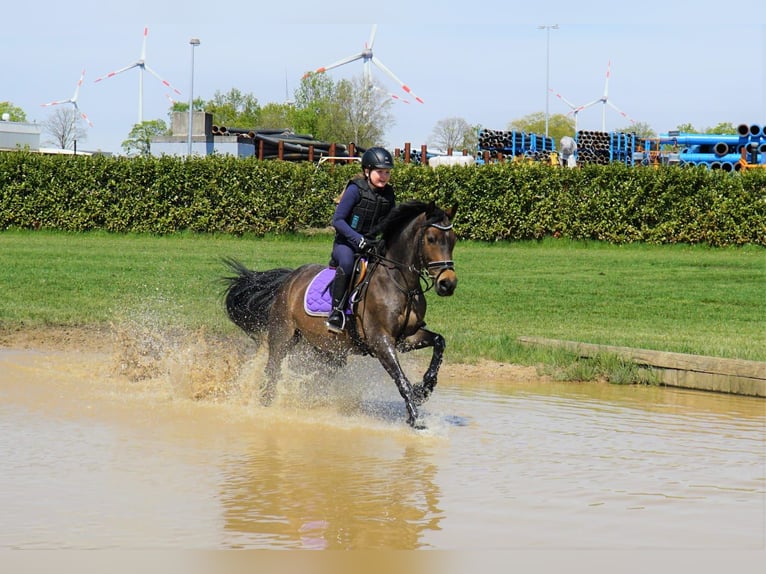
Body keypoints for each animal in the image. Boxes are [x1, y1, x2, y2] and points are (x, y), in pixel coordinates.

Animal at [225, 200, 460, 430]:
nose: (448, 284)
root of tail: (289, 279)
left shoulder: (406, 338)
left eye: (453, 240)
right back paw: (266, 406)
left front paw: (424, 388)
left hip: (327, 350)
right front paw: (415, 418)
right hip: (283, 337)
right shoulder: (381, 341)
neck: (400, 283)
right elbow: (400, 378)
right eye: (431, 239)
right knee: (272, 371)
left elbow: (439, 341)